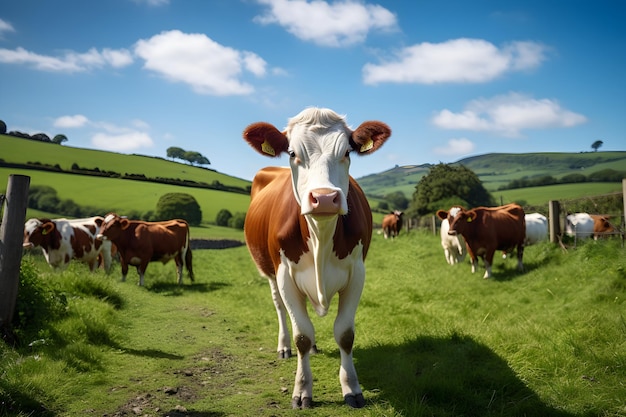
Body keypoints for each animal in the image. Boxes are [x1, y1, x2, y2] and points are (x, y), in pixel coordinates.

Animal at [241, 105, 388, 408]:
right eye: (292, 153)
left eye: (347, 152)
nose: (325, 198)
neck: (321, 234)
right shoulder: (285, 274)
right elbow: (302, 336)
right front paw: (302, 390)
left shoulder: (357, 273)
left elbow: (345, 334)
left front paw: (352, 388)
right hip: (269, 272)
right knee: (281, 308)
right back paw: (283, 346)